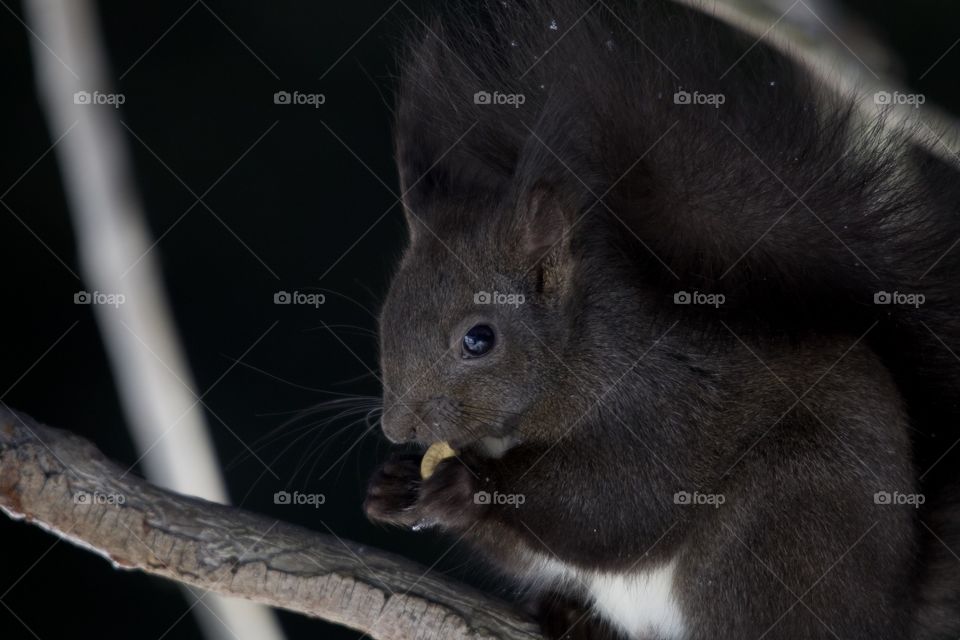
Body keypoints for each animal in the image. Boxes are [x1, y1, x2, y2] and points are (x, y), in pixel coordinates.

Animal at [363, 1, 960, 638]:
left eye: (479, 339)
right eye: (387, 314)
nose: (397, 428)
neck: (573, 360)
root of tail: (892, 612)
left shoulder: (663, 404)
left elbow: (620, 503)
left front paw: (466, 484)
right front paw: (394, 483)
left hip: (778, 525)